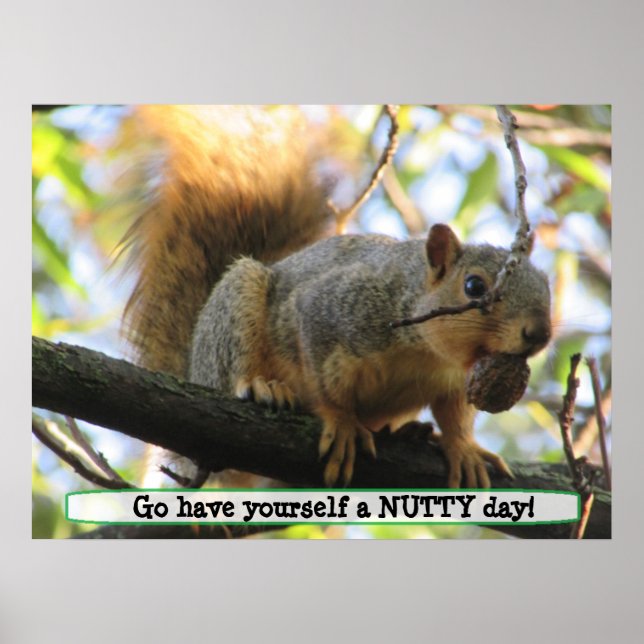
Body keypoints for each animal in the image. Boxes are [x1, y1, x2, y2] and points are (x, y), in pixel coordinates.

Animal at [121, 105, 552, 489]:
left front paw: (463, 448)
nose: (540, 334)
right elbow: (326, 381)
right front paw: (342, 422)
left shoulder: (454, 381)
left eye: (546, 283)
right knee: (234, 369)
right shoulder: (335, 309)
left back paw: (409, 432)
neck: (428, 353)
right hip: (235, 309)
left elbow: (456, 416)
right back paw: (263, 388)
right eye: (474, 287)